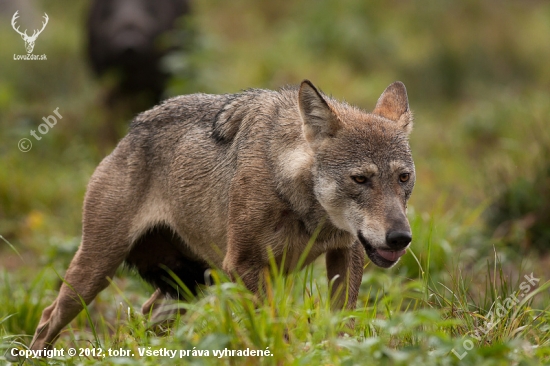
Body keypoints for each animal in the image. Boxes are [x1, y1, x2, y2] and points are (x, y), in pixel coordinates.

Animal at [32, 79, 416, 348]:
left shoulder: (346, 252)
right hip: (97, 270)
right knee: (48, 317)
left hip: (190, 285)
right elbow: (277, 331)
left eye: (403, 178)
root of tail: (130, 131)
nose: (400, 237)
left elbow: (343, 325)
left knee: (144, 313)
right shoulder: (244, 266)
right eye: (360, 179)